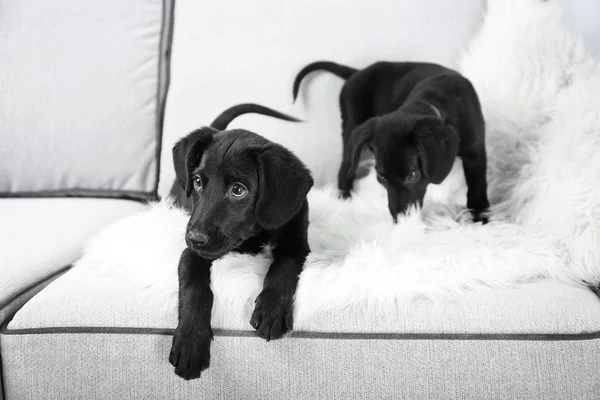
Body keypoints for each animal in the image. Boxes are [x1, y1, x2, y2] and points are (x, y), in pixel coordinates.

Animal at [166, 102, 312, 378]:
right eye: (198, 181)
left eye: (238, 190)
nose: (195, 238)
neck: (254, 236)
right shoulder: (191, 253)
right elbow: (195, 287)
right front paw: (190, 342)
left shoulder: (297, 244)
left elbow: (283, 266)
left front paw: (272, 310)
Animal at [292, 60, 490, 222]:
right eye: (381, 177)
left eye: (413, 175)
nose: (400, 220)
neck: (435, 100)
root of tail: (357, 72)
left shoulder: (476, 152)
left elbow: (477, 188)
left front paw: (481, 218)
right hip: (350, 128)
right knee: (345, 170)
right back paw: (344, 203)